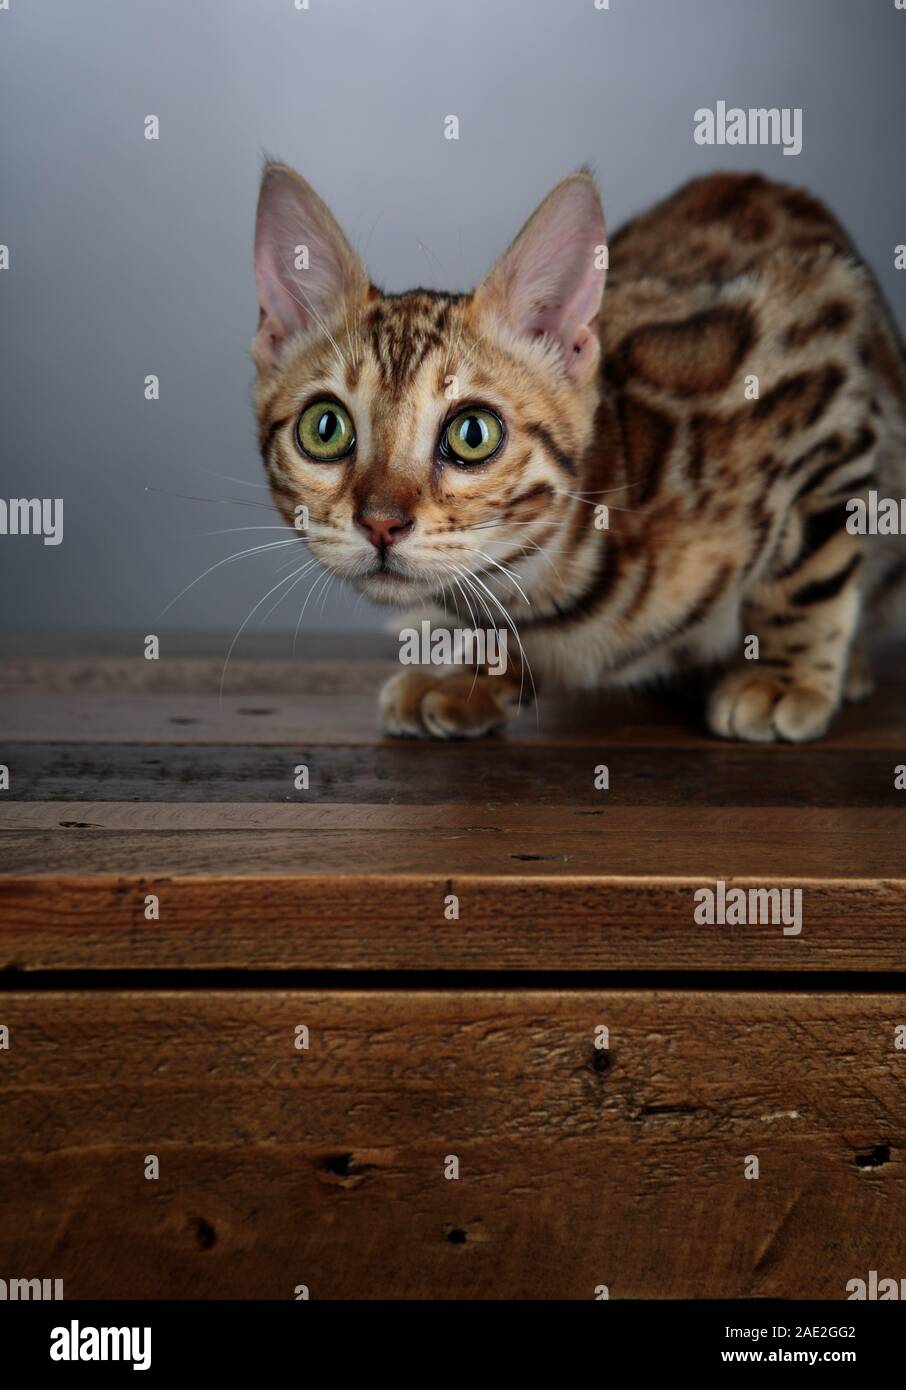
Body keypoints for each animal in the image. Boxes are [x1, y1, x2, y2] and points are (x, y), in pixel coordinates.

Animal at [251, 159, 906, 745]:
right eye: (326, 428)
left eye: (472, 434)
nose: (381, 524)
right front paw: (472, 671)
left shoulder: (831, 384)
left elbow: (807, 576)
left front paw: (785, 678)